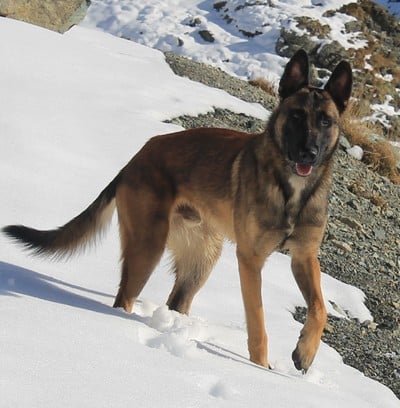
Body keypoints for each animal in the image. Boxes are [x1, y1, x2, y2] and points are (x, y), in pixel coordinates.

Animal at [3, 50, 352, 372]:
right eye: (296, 116)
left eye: (325, 121)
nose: (308, 153)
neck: (293, 190)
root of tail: (134, 159)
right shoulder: (251, 260)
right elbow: (258, 320)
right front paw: (259, 368)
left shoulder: (303, 256)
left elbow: (319, 308)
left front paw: (305, 352)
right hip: (148, 246)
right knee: (124, 298)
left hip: (202, 259)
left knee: (176, 301)